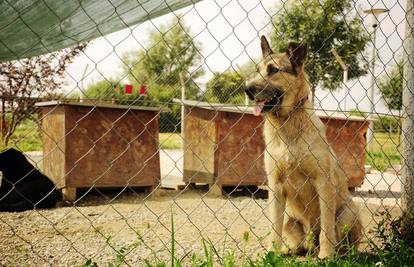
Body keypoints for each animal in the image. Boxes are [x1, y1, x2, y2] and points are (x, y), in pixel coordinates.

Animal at [246, 36, 362, 258]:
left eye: (274, 70)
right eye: (257, 70)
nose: (246, 90)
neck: (287, 123)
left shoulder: (324, 183)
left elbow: (326, 229)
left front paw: (326, 255)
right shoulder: (275, 187)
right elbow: (274, 228)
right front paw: (271, 253)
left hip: (349, 212)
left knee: (341, 241)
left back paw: (336, 254)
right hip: (290, 221)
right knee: (298, 243)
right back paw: (290, 250)